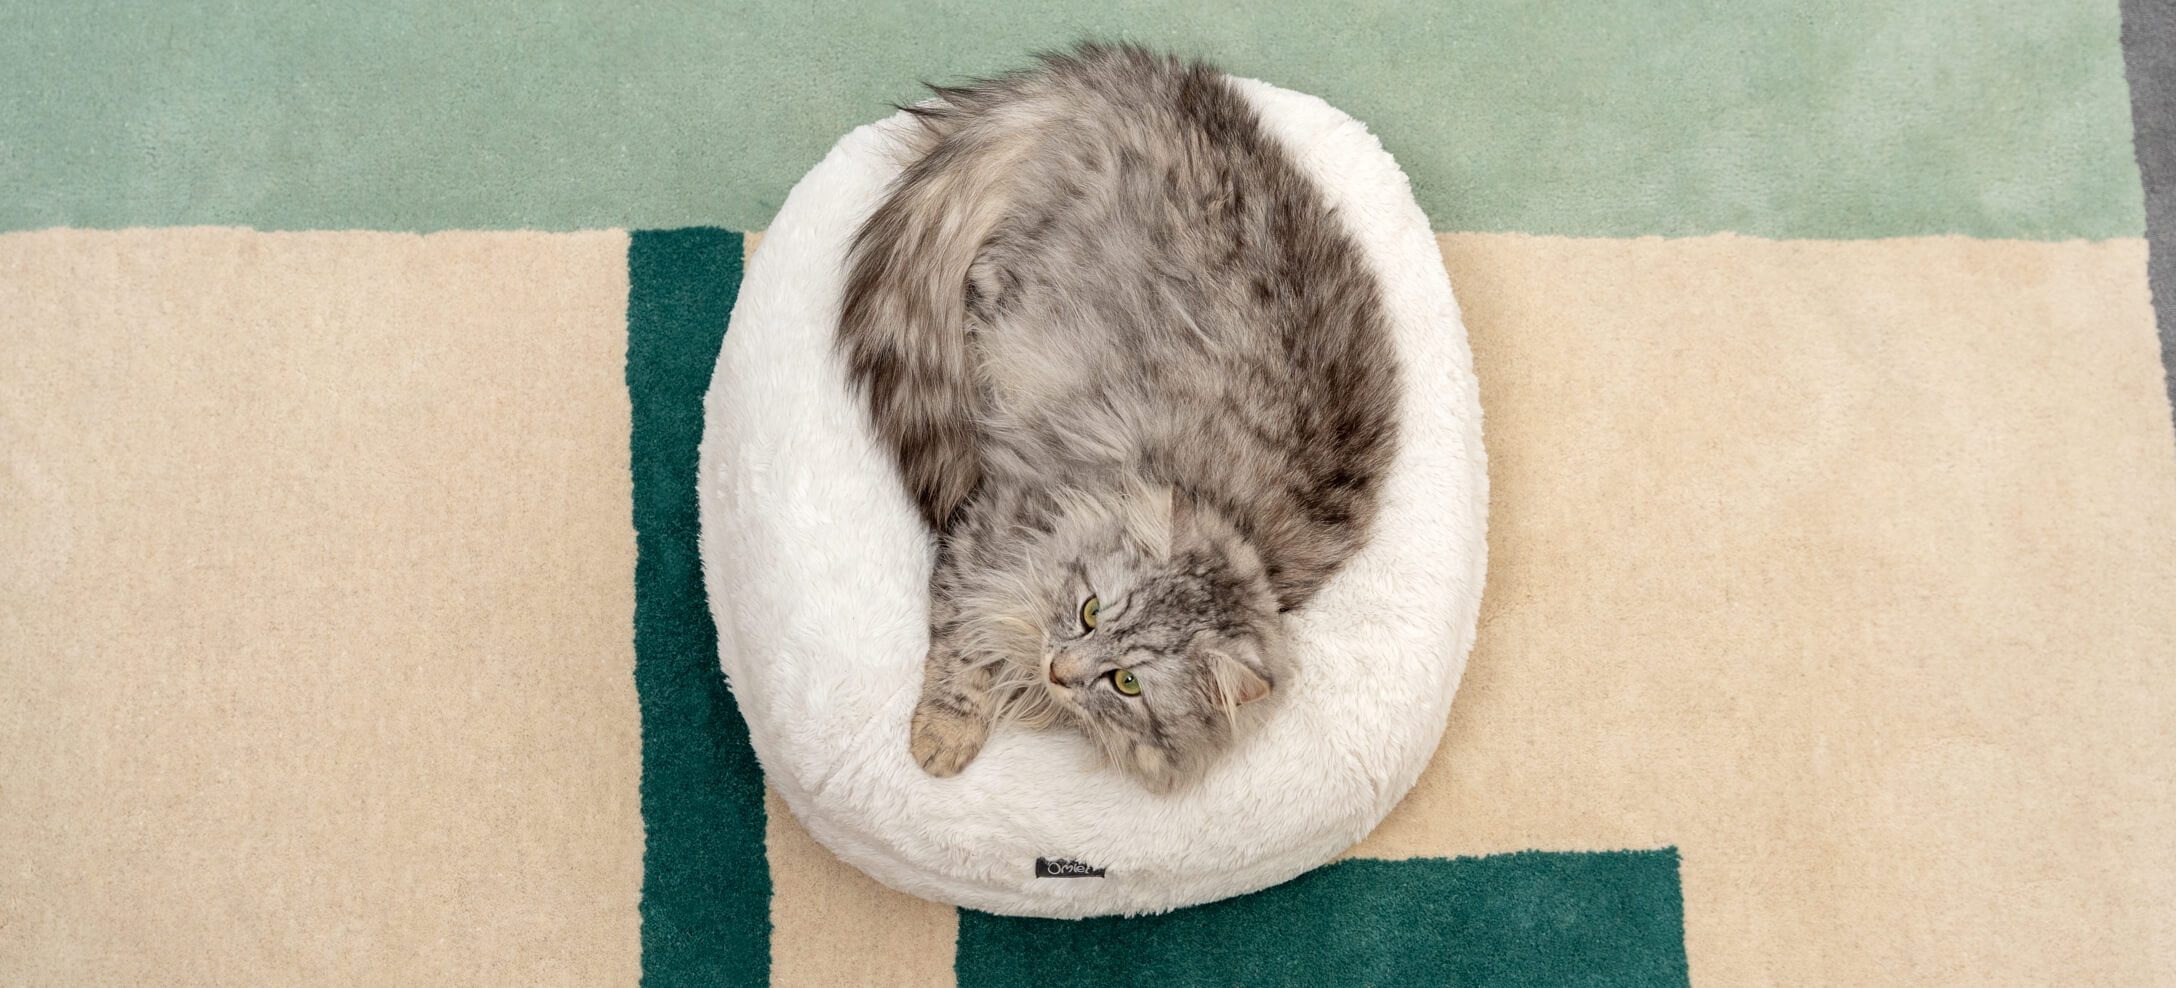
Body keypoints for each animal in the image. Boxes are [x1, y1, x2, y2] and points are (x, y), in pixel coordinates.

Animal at [831, 44, 1392, 796]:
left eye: (1126, 682)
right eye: (1090, 611)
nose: (1060, 670)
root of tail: (1121, 77)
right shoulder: (990, 534)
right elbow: (963, 652)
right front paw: (941, 739)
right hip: (1021, 267)